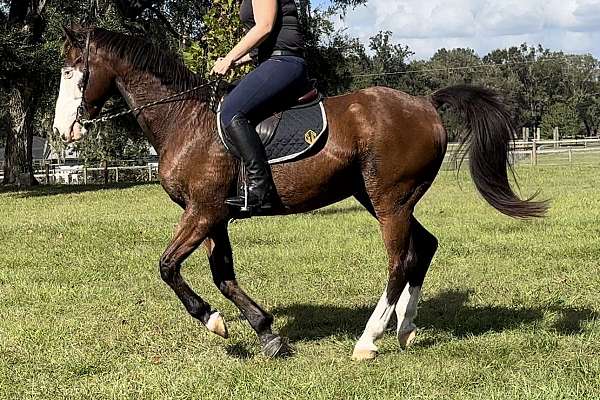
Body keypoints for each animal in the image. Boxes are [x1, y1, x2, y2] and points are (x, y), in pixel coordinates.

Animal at [54, 27, 548, 360]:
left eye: (72, 74)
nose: (63, 132)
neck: (185, 122)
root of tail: (425, 103)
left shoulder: (202, 211)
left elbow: (168, 267)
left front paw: (213, 321)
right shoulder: (215, 216)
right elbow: (223, 275)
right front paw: (266, 333)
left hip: (389, 201)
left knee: (400, 260)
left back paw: (369, 340)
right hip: (383, 198)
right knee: (424, 247)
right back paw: (405, 329)